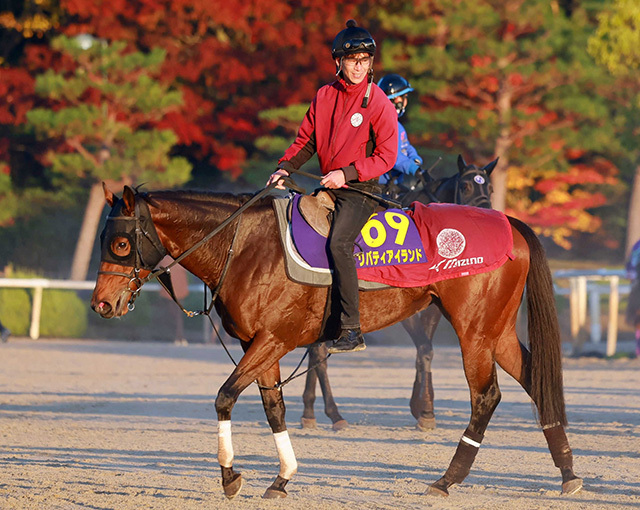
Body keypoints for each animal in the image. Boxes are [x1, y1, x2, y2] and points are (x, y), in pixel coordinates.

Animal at [91, 182, 584, 498]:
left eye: (121, 244)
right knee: (536, 382)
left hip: (475, 332)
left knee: (486, 396)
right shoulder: (259, 346)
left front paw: (230, 476)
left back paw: (448, 479)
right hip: (495, 332)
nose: (102, 304)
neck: (245, 244)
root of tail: (508, 222)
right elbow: (273, 407)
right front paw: (283, 476)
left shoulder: (272, 340)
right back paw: (567, 473)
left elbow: (225, 396)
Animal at [302, 154, 498, 430]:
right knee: (318, 351)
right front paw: (425, 409)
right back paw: (332, 413)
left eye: (490, 188)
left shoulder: (432, 308)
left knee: (314, 350)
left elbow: (424, 350)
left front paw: (421, 406)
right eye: (467, 186)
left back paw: (309, 410)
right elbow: (424, 347)